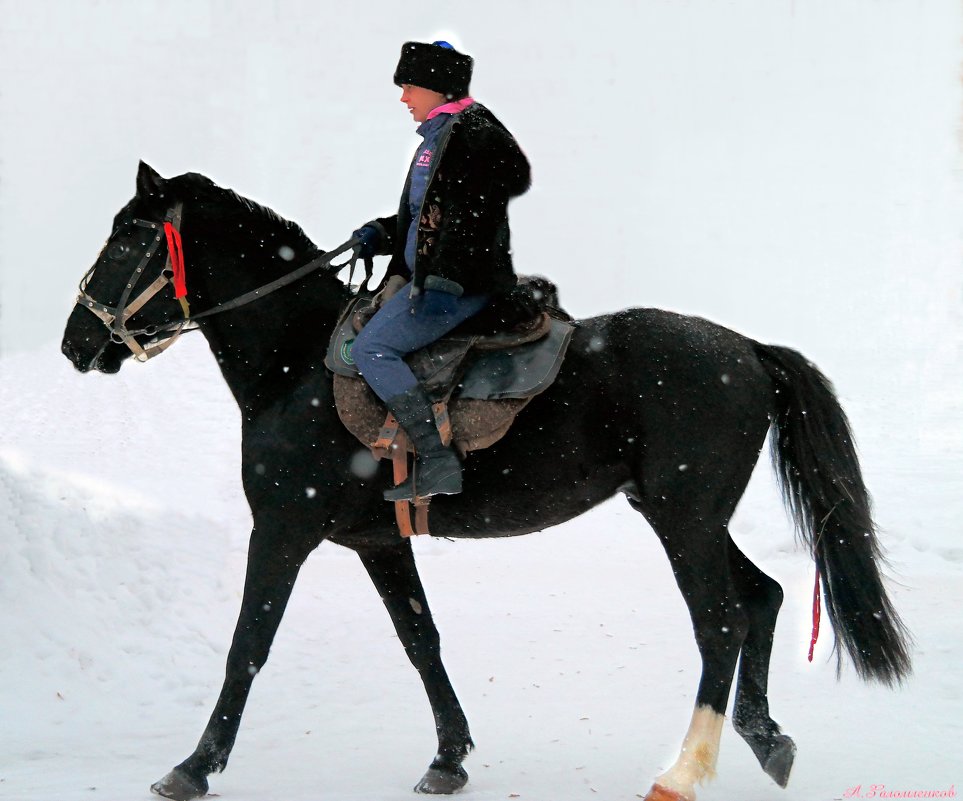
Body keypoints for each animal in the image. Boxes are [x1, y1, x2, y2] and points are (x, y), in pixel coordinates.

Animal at [60, 162, 912, 800]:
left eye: (129, 236)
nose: (76, 341)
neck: (296, 365)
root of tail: (746, 349)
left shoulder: (282, 529)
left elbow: (248, 643)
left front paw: (193, 765)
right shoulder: (376, 541)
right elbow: (420, 638)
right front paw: (449, 755)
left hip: (684, 520)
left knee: (722, 621)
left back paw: (683, 770)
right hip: (687, 515)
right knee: (762, 596)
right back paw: (766, 740)